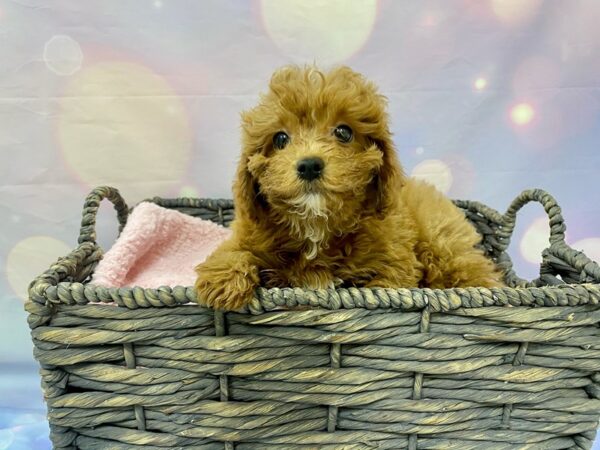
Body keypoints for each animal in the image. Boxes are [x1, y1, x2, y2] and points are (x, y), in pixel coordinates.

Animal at [195, 65, 504, 310]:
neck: (316, 226)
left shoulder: (397, 263)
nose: (309, 165)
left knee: (470, 270)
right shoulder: (248, 232)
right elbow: (232, 250)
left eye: (343, 132)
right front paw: (222, 282)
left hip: (441, 241)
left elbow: (386, 287)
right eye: (280, 139)